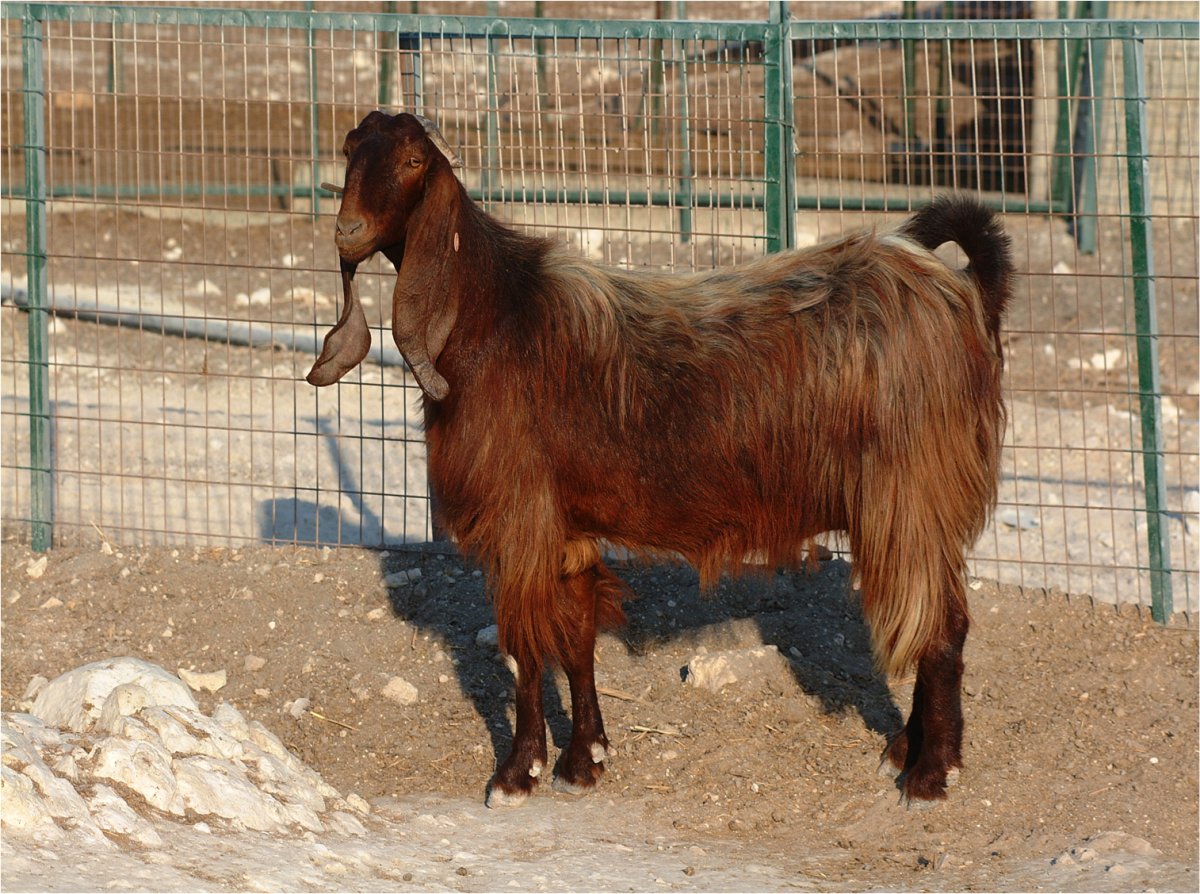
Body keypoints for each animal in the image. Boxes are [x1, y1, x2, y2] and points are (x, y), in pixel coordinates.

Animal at [308, 111, 1013, 808]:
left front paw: (516, 773)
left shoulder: (520, 518)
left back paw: (930, 774)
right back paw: (905, 750)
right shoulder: (565, 526)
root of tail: (957, 292)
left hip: (910, 492)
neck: (494, 319)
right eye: (349, 148)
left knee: (942, 624)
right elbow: (576, 637)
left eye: (412, 161)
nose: (347, 232)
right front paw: (584, 759)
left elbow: (526, 648)